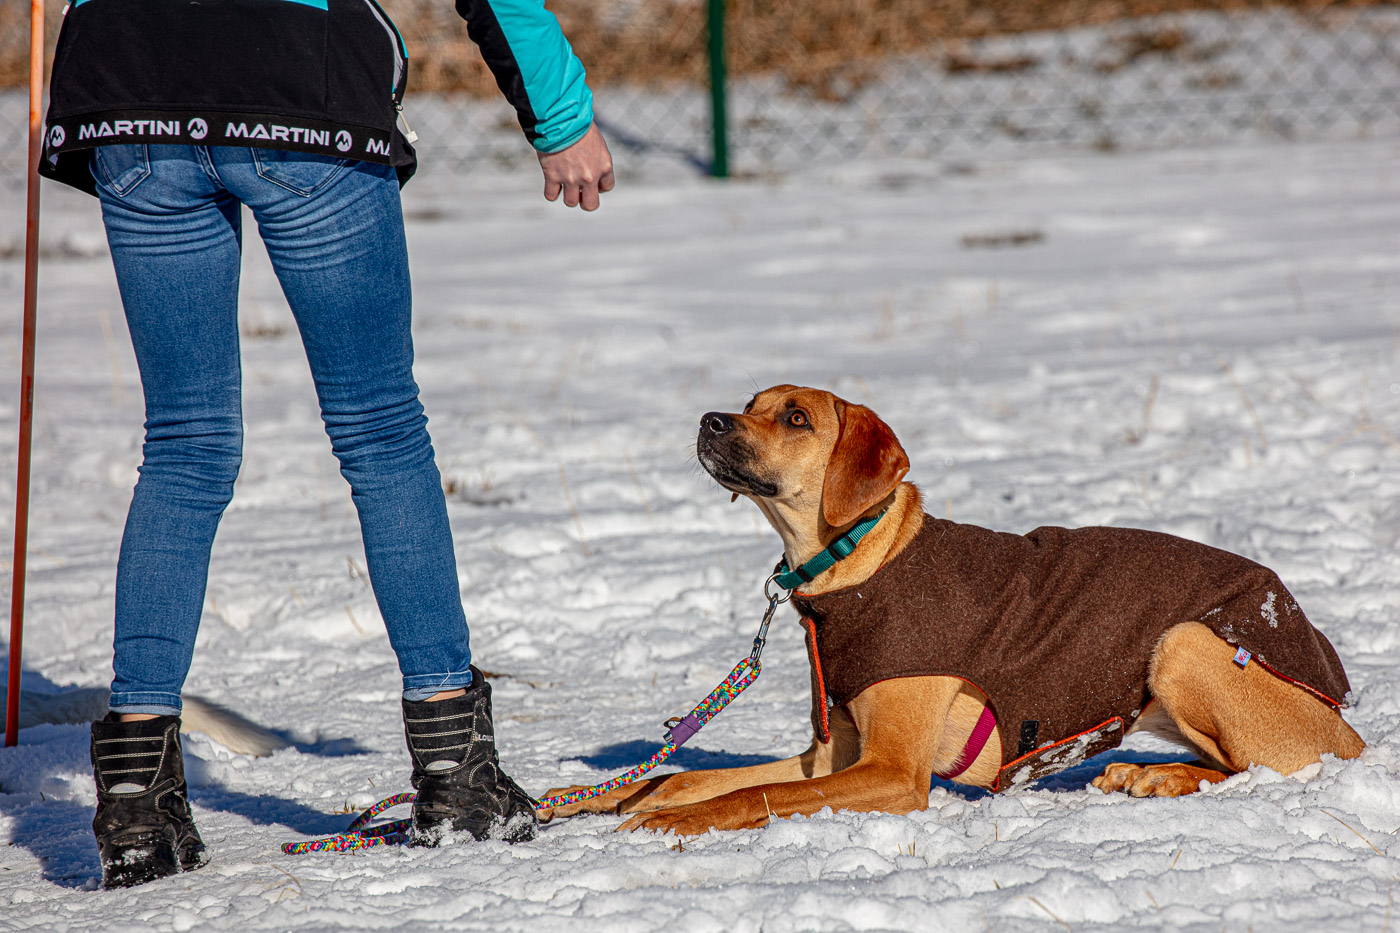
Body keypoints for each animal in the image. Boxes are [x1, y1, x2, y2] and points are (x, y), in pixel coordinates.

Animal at [537, 381, 1366, 829]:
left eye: (796, 417)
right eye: (749, 404)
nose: (709, 419)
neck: (854, 561)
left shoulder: (893, 770)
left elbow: (756, 793)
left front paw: (674, 821)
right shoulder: (833, 751)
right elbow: (688, 777)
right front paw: (599, 798)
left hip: (1185, 642)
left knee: (1268, 768)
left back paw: (1160, 777)